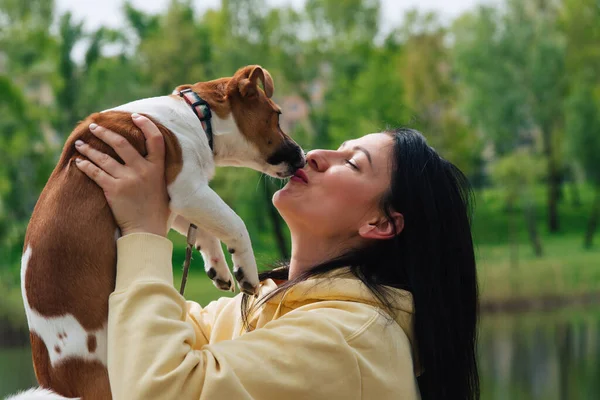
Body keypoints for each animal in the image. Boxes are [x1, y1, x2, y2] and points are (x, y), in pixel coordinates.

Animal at [12, 64, 304, 398]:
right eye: (278, 115)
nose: (303, 156)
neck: (197, 114)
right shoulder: (187, 190)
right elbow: (234, 223)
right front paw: (246, 271)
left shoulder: (175, 202)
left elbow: (206, 231)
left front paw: (217, 267)